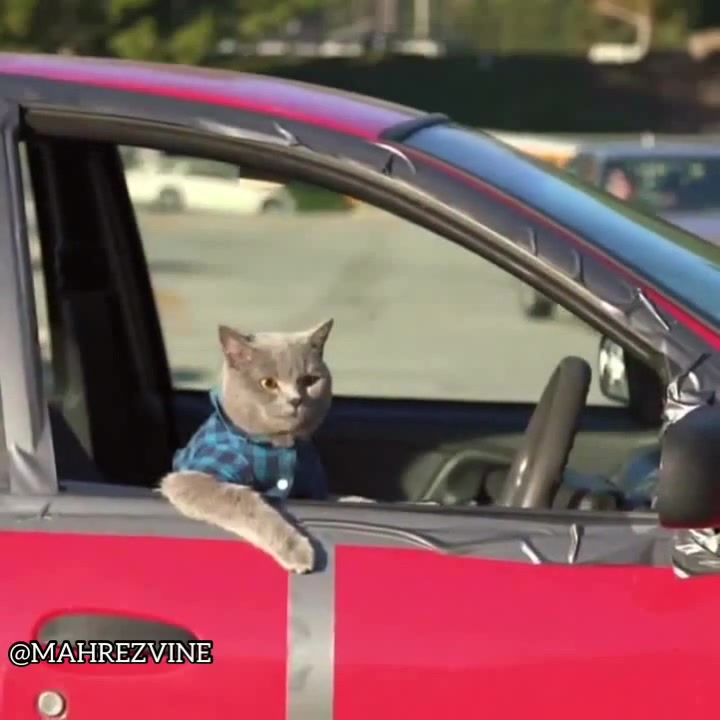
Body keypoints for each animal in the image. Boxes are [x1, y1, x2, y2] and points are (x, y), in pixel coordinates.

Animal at [159, 320, 335, 573]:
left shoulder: (313, 486)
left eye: (309, 380)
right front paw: (297, 550)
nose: (296, 400)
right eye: (268, 383)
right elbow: (244, 501)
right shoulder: (191, 478)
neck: (278, 444)